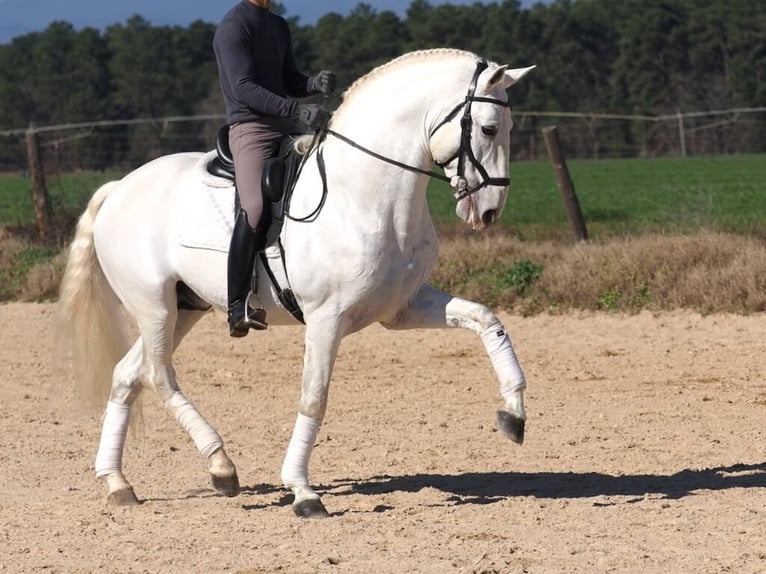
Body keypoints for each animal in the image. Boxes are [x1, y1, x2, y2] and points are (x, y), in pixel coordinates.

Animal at [58, 48, 536, 516]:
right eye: (489, 128)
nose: (489, 211)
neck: (362, 195)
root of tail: (120, 187)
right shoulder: (327, 319)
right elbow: (314, 397)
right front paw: (303, 492)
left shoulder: (402, 308)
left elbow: (487, 319)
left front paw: (513, 414)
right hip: (154, 306)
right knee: (158, 377)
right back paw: (221, 466)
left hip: (183, 309)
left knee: (127, 375)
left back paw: (118, 483)